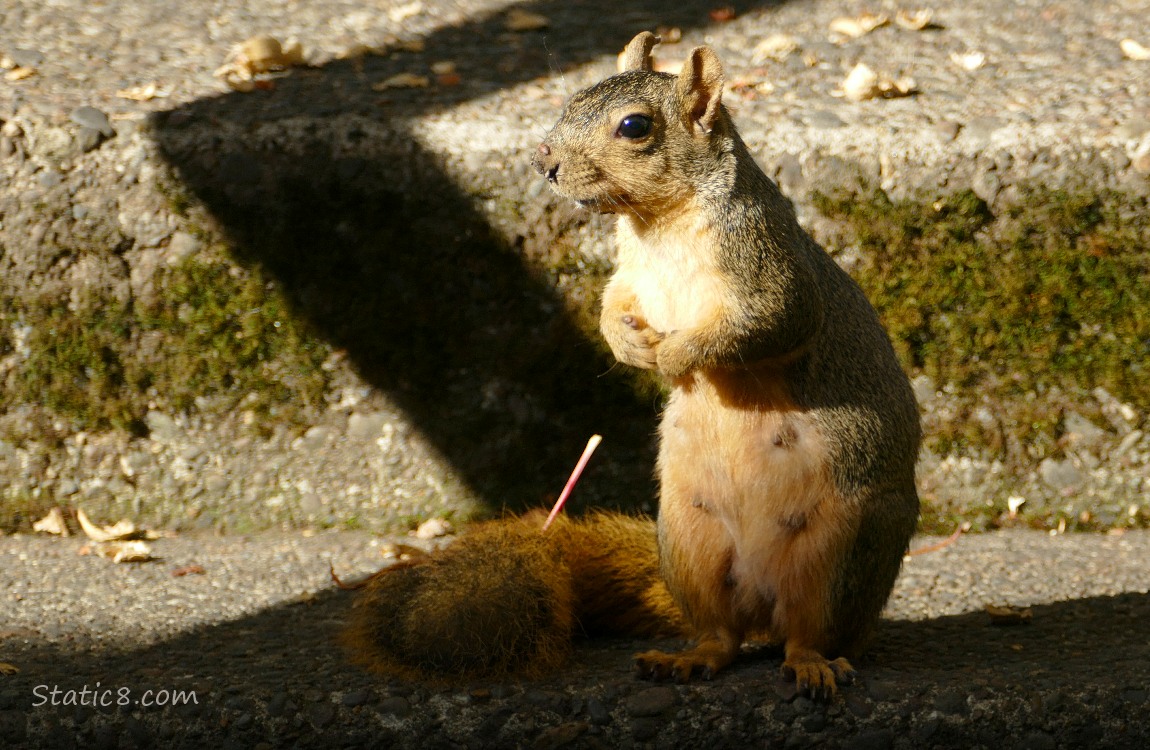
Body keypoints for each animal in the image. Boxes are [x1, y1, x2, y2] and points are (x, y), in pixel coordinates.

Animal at [345, 33, 921, 699]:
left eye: (634, 126)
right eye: (573, 98)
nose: (544, 160)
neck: (659, 224)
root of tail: (764, 604)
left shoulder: (768, 272)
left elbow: (761, 325)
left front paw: (673, 355)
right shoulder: (629, 274)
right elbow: (611, 305)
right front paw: (629, 346)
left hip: (840, 556)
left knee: (811, 630)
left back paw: (811, 666)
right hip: (692, 543)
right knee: (722, 636)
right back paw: (687, 658)